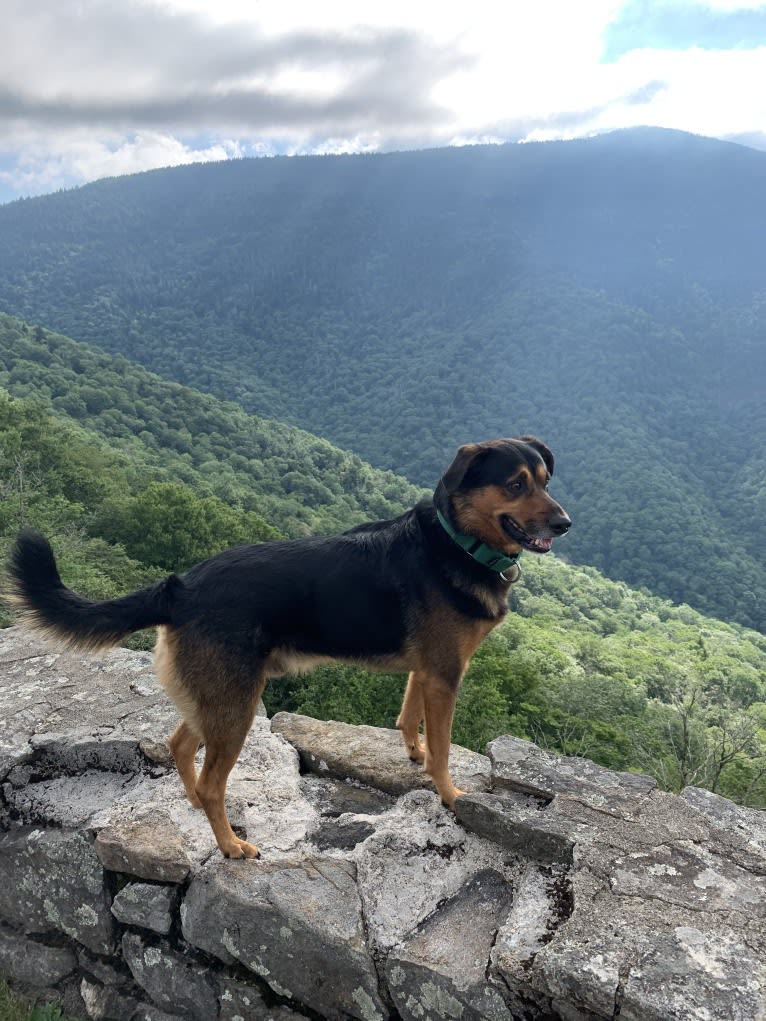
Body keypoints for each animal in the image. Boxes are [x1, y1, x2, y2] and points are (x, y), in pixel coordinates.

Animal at [6, 434, 571, 857]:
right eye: (515, 484)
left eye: (545, 481)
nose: (564, 524)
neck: (457, 541)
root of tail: (180, 586)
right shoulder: (446, 674)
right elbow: (444, 749)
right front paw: (450, 794)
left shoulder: (427, 671)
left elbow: (410, 717)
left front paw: (412, 751)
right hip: (237, 702)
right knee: (212, 779)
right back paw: (230, 845)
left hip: (215, 696)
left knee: (180, 745)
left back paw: (195, 807)